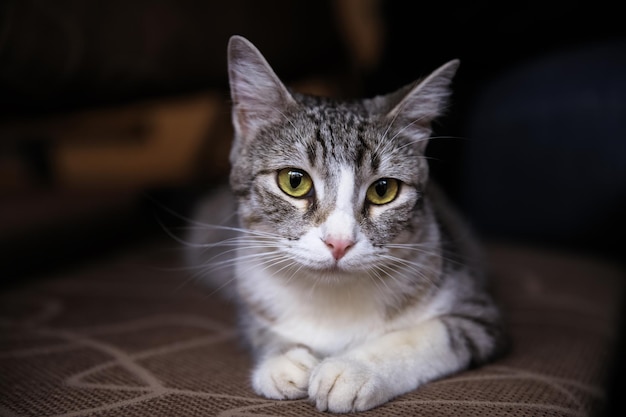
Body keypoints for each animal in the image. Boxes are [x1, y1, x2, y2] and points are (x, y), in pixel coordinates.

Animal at [185, 35, 502, 412]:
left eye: (383, 189)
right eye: (294, 181)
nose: (339, 242)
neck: (331, 297)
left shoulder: (477, 310)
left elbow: (433, 335)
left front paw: (352, 370)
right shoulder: (250, 293)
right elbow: (262, 329)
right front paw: (283, 359)